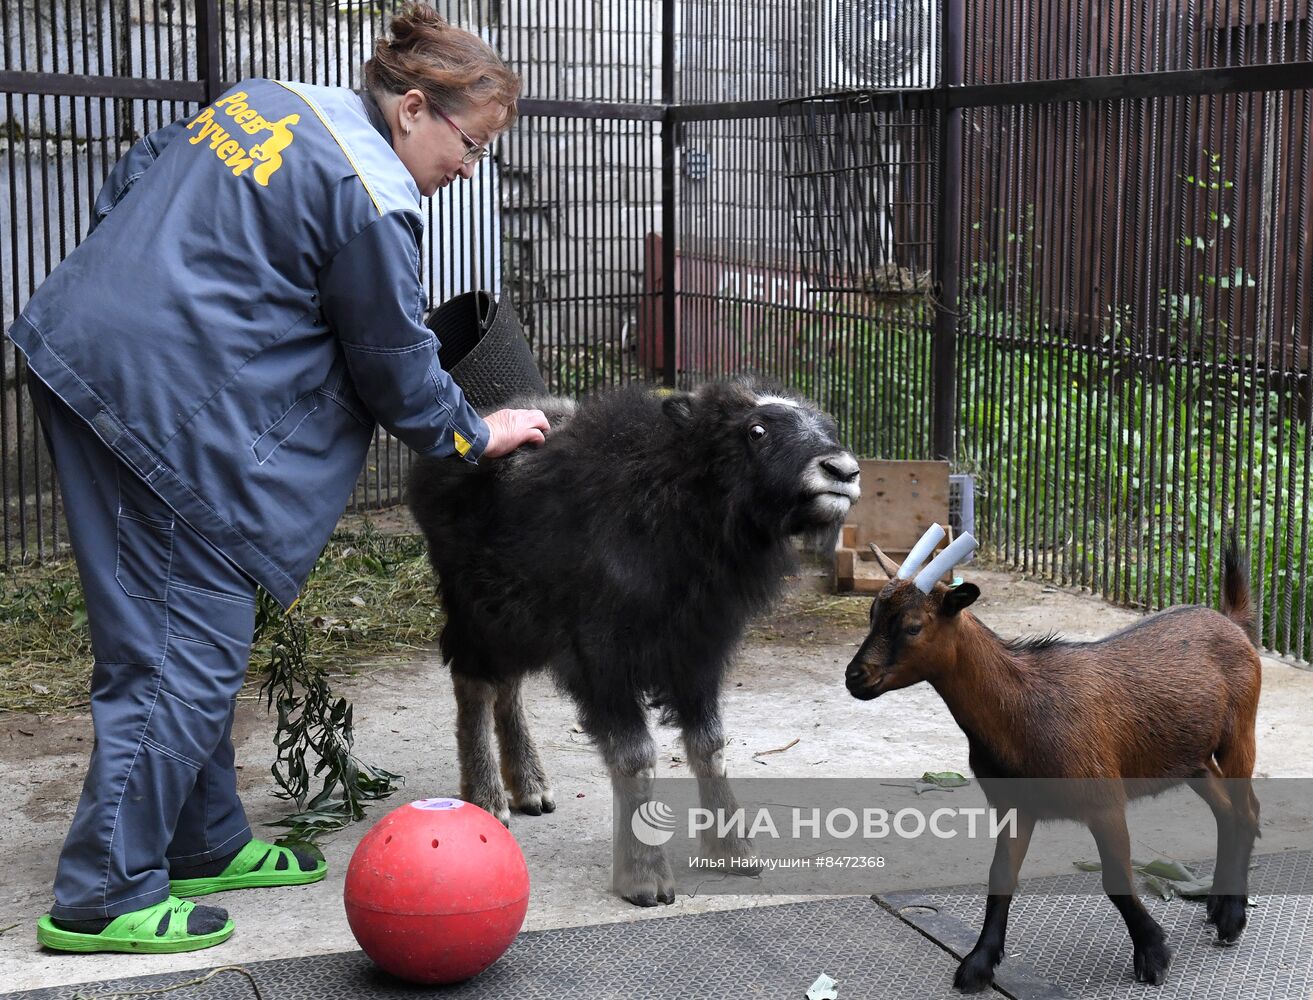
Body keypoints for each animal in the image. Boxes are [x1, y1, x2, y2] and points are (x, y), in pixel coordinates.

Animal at [409, 375, 861, 902]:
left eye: (827, 424)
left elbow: (710, 744)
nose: (843, 470)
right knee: (475, 686)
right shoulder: (603, 658)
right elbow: (635, 756)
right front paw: (645, 876)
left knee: (509, 688)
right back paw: (487, 798)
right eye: (756, 430)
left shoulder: (697, 653)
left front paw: (733, 850)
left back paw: (531, 788)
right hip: (478, 613)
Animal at [845, 540, 1265, 986]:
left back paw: (1231, 917)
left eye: (912, 626)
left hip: (1239, 734)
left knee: (1246, 812)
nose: (855, 676)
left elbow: (1116, 878)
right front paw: (978, 963)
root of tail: (1233, 623)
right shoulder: (1015, 806)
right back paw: (1218, 905)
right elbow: (1000, 876)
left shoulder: (1103, 801)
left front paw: (1153, 954)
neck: (1024, 704)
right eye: (872, 614)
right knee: (1227, 812)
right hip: (1192, 759)